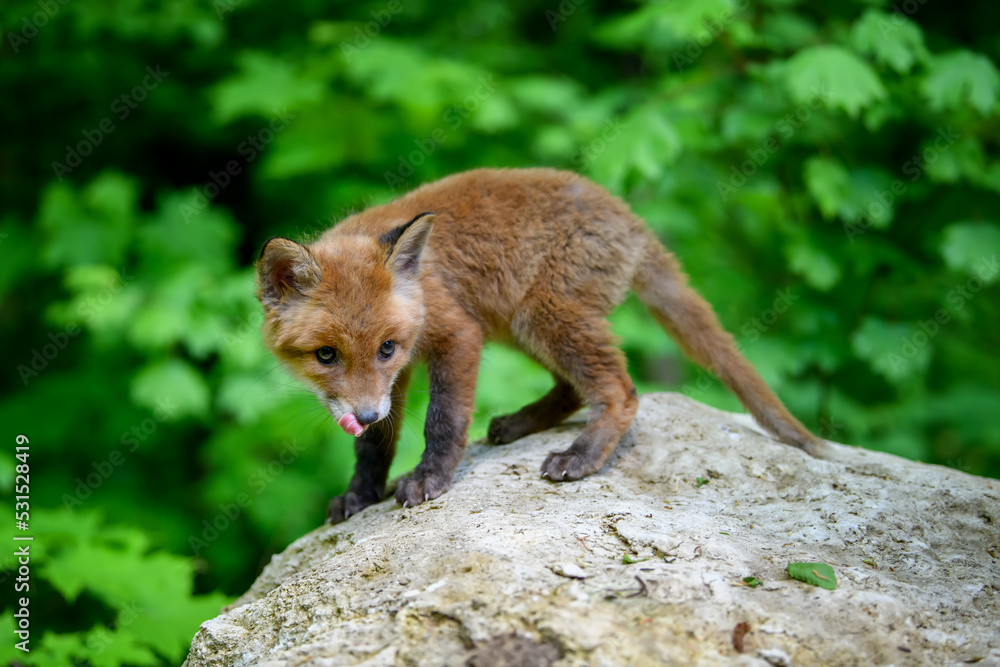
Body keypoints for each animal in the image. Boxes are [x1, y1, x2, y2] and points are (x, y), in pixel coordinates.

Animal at [256, 168, 824, 523]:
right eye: (326, 355)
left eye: (386, 347)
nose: (365, 414)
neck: (423, 285)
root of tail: (630, 217)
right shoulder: (400, 375)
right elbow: (375, 445)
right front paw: (361, 493)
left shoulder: (456, 334)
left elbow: (443, 420)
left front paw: (430, 477)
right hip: (523, 325)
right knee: (572, 390)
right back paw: (518, 425)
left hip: (543, 318)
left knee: (621, 390)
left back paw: (581, 455)